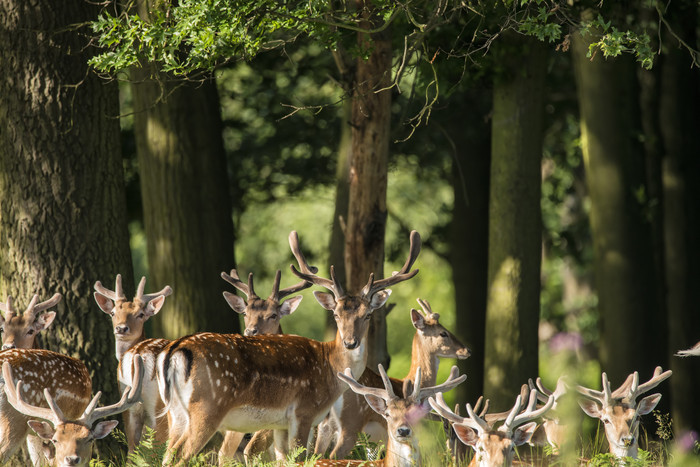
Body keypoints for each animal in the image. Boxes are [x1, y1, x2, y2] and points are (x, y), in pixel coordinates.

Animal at [93, 276, 173, 452]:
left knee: (133, 448)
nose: (121, 328)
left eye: (140, 314)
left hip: (129, 404)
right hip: (157, 406)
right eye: (113, 313)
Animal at [154, 229, 422, 462]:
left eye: (367, 315)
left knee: (167, 455)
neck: (330, 366)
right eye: (335, 314)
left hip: (176, 413)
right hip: (207, 407)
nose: (350, 342)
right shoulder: (303, 412)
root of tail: (175, 350)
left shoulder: (281, 424)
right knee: (181, 455)